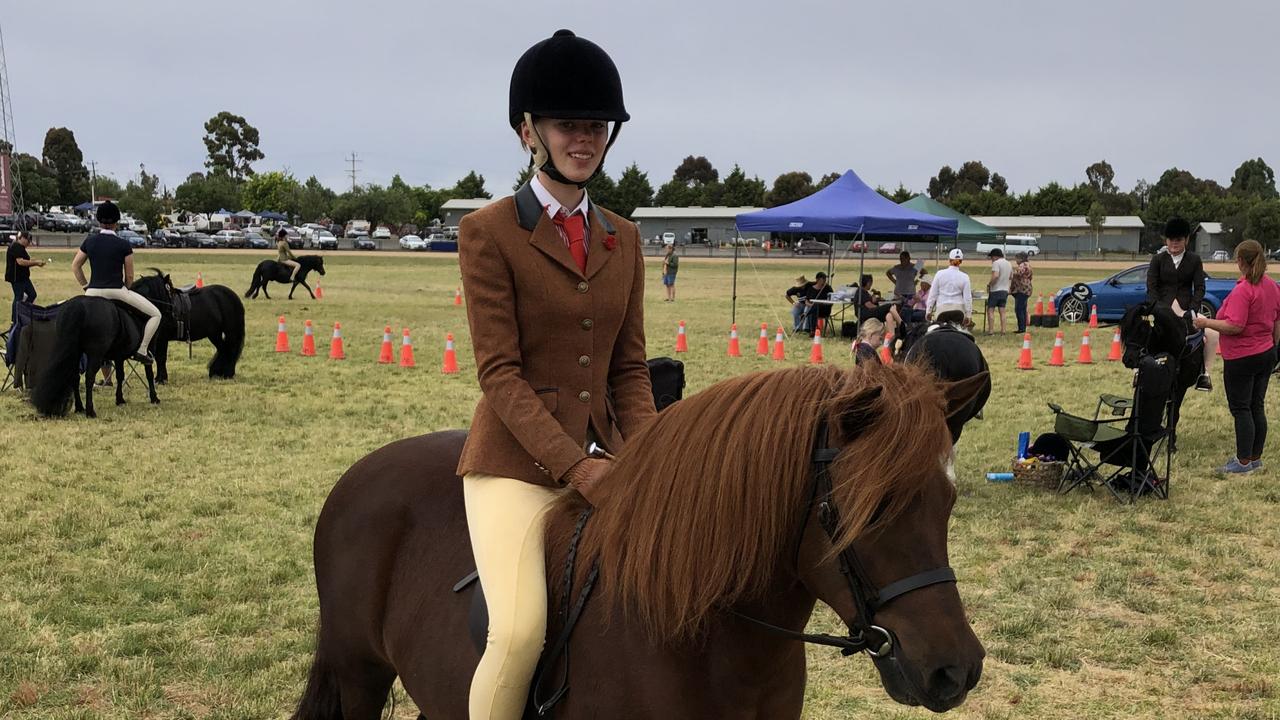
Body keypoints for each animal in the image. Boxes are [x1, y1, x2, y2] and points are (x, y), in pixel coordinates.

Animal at [32, 280, 165, 415]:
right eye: (168, 289)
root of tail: (78, 307)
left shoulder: (119, 356)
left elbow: (120, 376)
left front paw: (120, 400)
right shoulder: (148, 351)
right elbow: (149, 374)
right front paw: (154, 398)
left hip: (76, 352)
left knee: (75, 376)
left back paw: (80, 408)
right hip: (95, 354)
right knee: (89, 377)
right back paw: (90, 411)